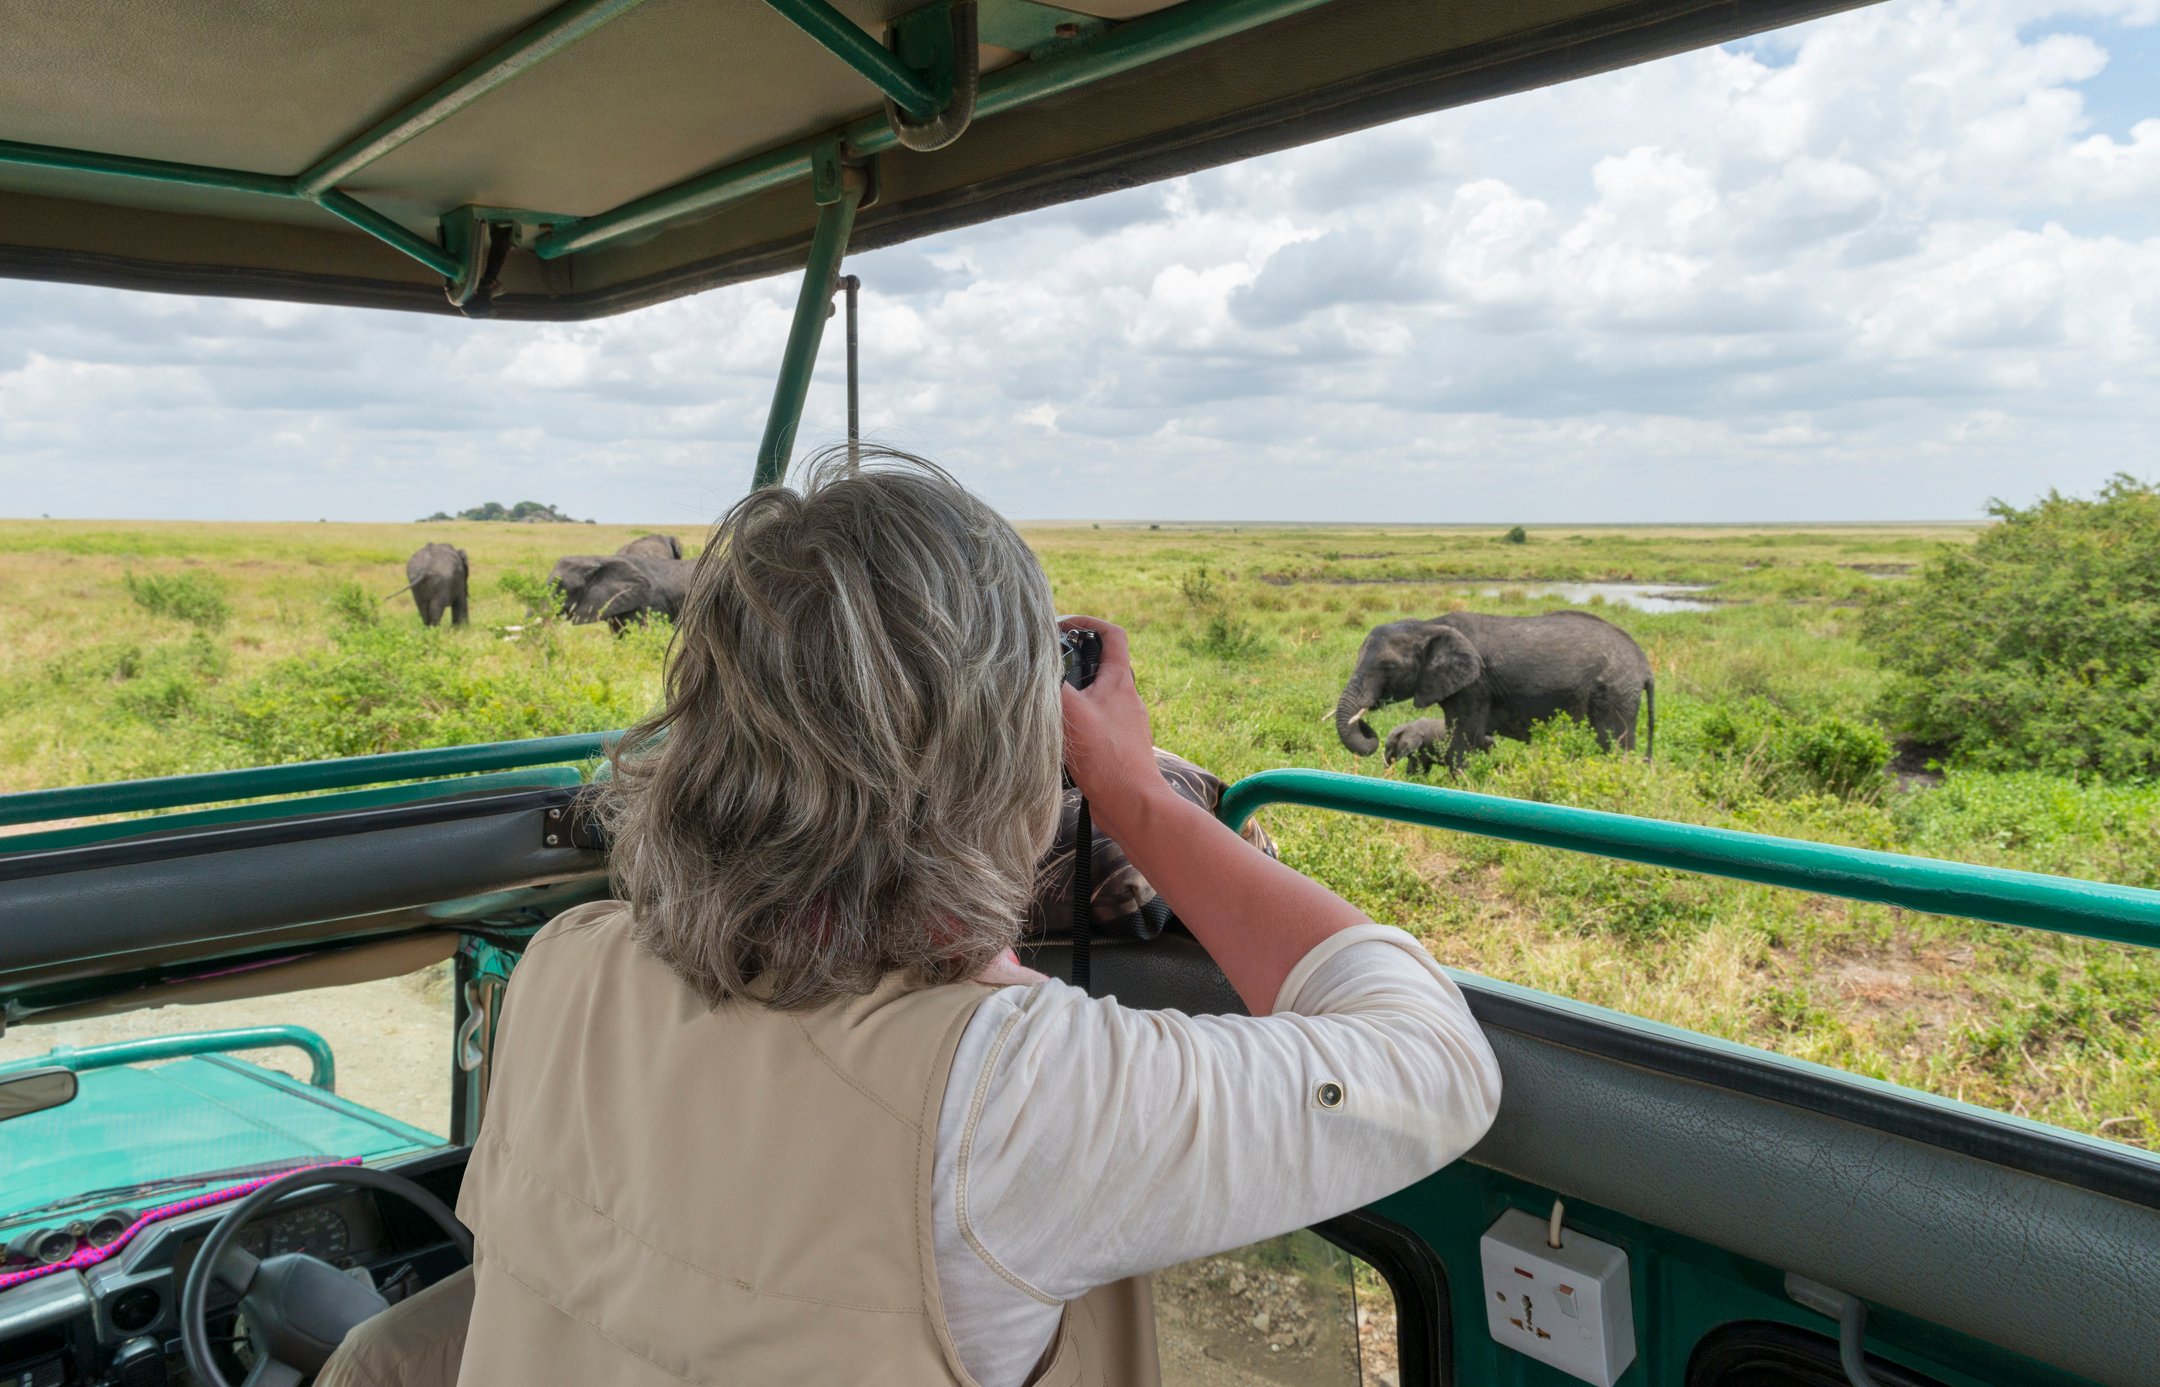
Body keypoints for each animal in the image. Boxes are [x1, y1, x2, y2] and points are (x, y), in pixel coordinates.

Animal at [1330, 613, 1650, 773]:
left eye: (1388, 667)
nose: (1366, 722)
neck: (1428, 625)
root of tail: (1644, 663)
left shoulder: (1476, 685)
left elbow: (1463, 739)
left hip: (1614, 693)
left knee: (1614, 744)